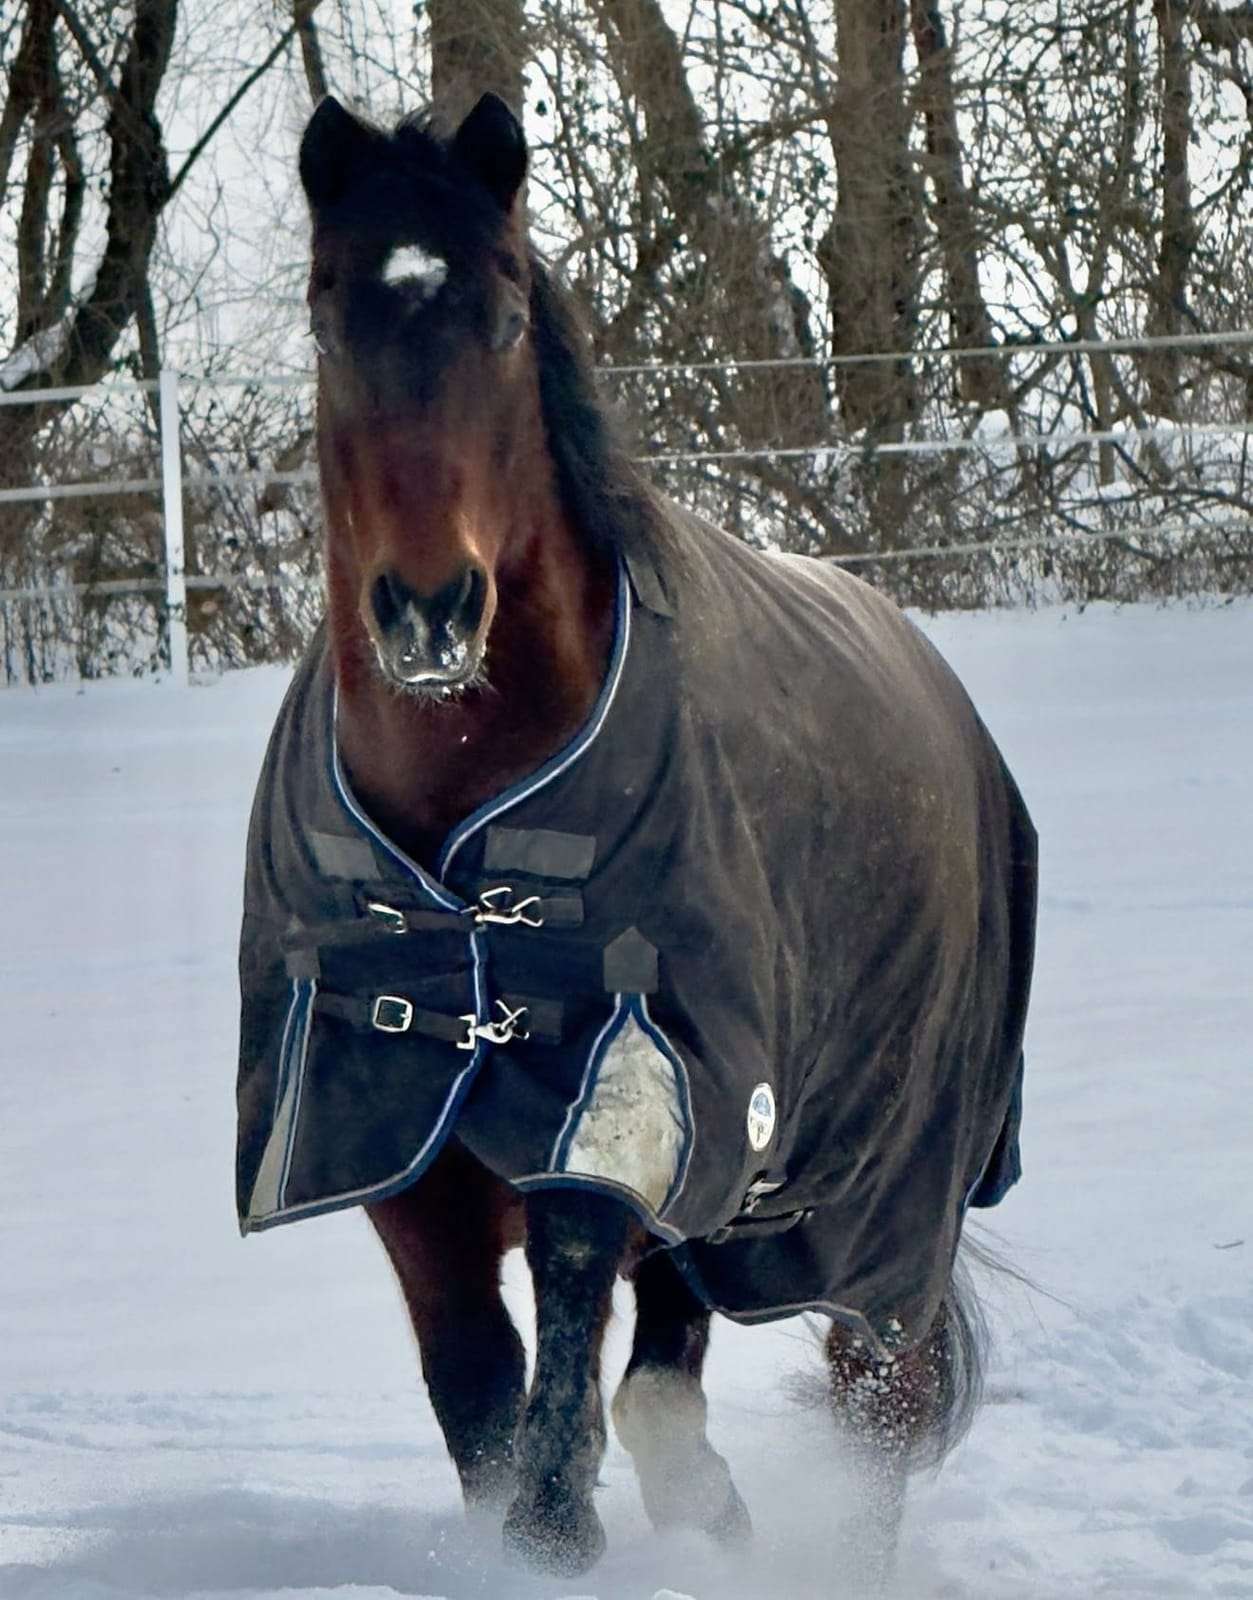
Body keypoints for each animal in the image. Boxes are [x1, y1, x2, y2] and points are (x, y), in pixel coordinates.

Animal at [235, 91, 1037, 1584]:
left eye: (500, 313)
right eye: (325, 314)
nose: (426, 610)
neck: (462, 822)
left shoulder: (626, 1090)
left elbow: (559, 1389)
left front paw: (577, 1530)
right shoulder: (384, 1133)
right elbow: (481, 1395)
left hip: (876, 1187)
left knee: (875, 1402)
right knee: (679, 1350)